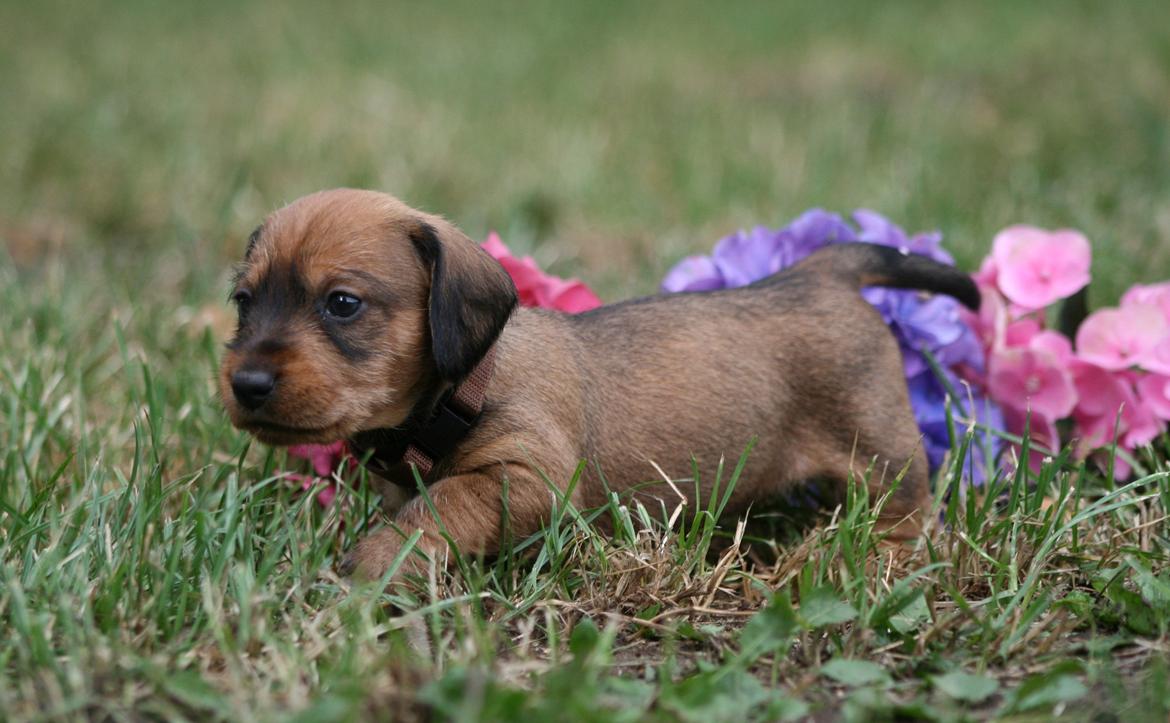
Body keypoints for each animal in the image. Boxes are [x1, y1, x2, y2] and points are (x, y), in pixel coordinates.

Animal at [219, 188, 978, 577]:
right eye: (243, 302)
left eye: (342, 303)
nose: (246, 382)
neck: (469, 388)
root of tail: (819, 272)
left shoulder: (526, 479)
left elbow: (436, 506)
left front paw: (372, 564)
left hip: (882, 452)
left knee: (912, 512)